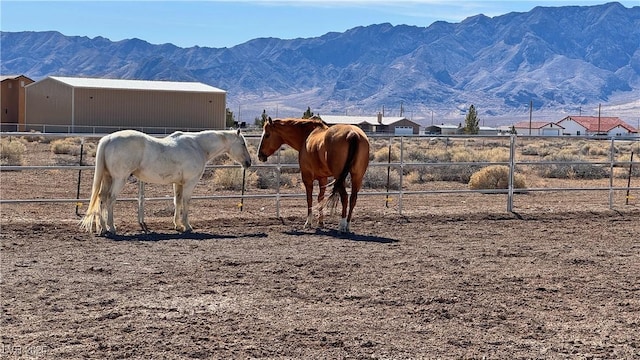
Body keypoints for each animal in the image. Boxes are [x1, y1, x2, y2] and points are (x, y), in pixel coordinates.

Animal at [84, 129, 254, 236]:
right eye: (243, 144)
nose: (249, 162)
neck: (197, 146)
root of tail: (108, 139)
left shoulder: (178, 183)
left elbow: (177, 201)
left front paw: (177, 225)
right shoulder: (189, 183)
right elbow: (186, 202)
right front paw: (187, 226)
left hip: (107, 178)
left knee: (101, 198)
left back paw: (103, 228)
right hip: (119, 179)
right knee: (110, 199)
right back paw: (112, 228)